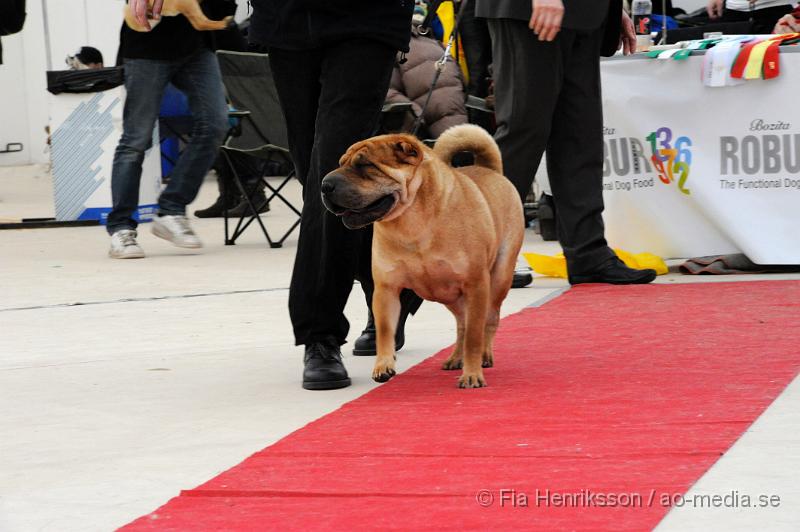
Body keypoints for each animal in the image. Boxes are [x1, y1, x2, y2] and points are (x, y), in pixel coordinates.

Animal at [320, 126, 524, 388]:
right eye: (341, 163)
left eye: (365, 165)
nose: (325, 185)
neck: (411, 221)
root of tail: (490, 170)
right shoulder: (386, 289)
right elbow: (385, 330)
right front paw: (383, 366)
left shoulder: (475, 284)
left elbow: (474, 336)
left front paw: (472, 374)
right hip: (448, 294)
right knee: (462, 324)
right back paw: (455, 358)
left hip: (498, 279)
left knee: (488, 320)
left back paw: (484, 356)